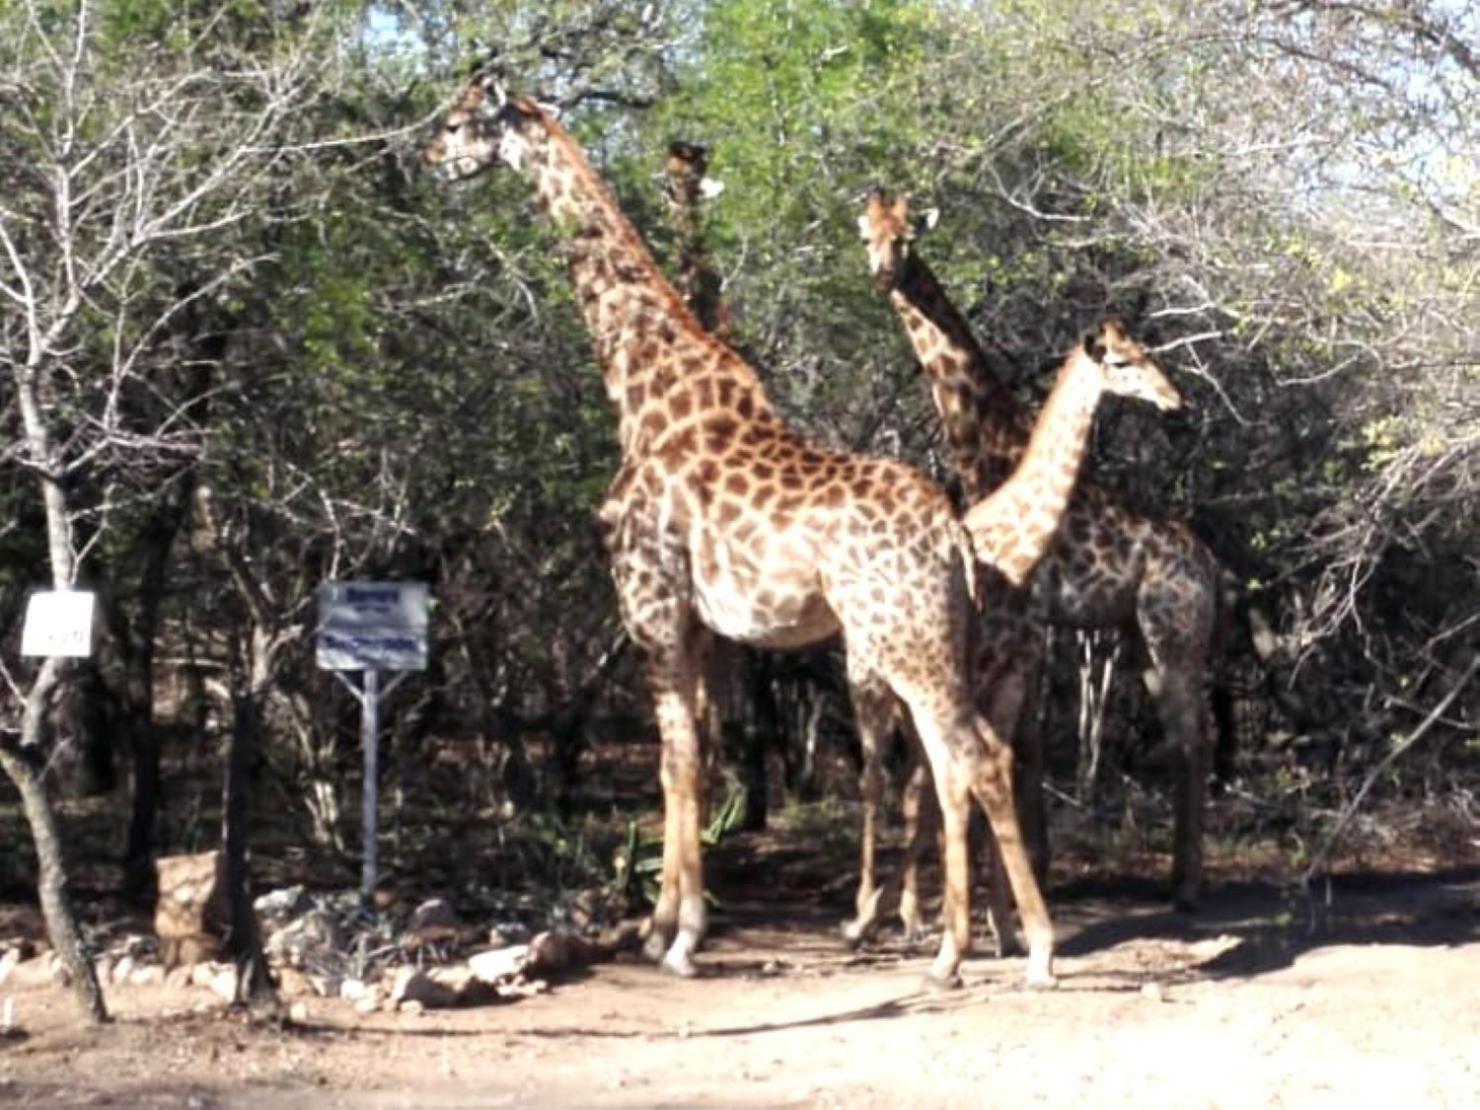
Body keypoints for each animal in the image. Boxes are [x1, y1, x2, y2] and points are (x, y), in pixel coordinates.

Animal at [858, 193, 1225, 923]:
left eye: (907, 237)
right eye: (868, 234)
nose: (883, 273)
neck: (987, 446)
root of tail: (1210, 565)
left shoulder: (1032, 617)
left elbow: (1015, 746)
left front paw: (1019, 882)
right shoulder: (1036, 626)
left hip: (1174, 634)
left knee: (1192, 737)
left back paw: (1188, 886)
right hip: (1139, 640)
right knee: (1182, 739)